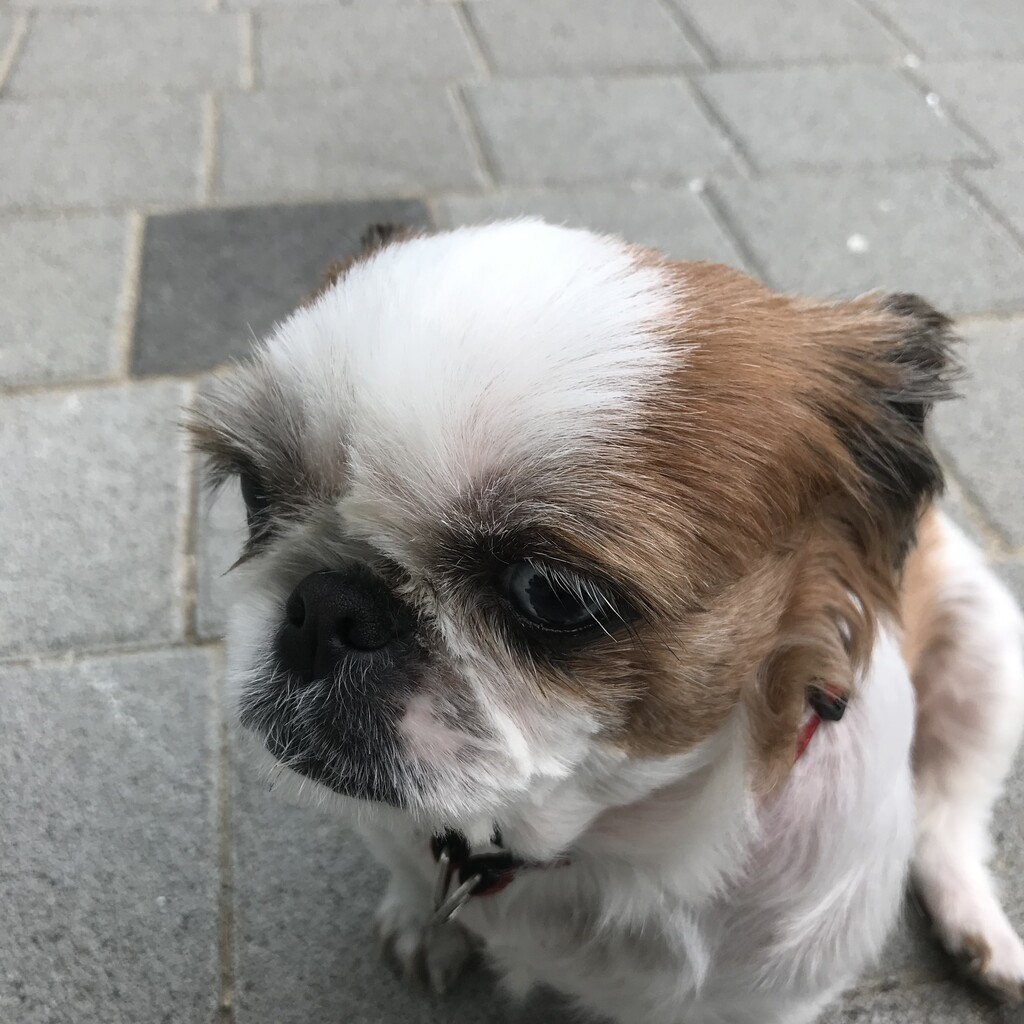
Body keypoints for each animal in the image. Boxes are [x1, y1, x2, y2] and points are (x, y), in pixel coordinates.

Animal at [187, 220, 1024, 1023]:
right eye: (255, 491)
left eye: (552, 594)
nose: (327, 606)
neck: (582, 844)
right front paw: (423, 921)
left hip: (987, 661)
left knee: (947, 814)